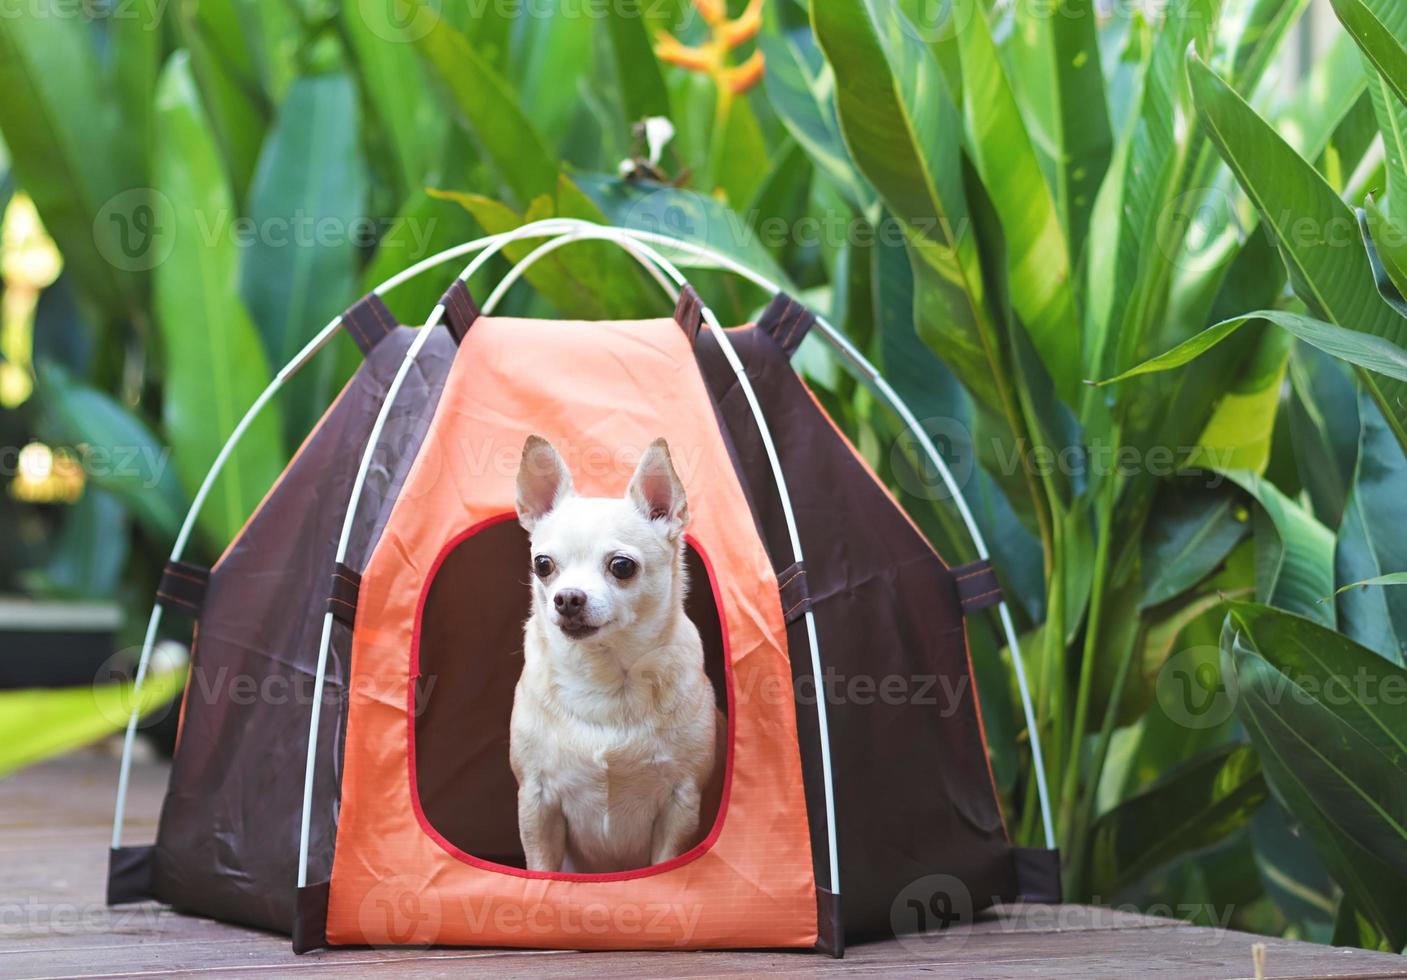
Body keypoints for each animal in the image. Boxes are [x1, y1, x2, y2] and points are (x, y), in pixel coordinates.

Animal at [509, 435, 726, 871]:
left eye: (622, 566)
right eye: (543, 565)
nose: (567, 598)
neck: (607, 677)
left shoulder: (681, 801)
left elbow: (664, 863)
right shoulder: (536, 800)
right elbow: (541, 867)